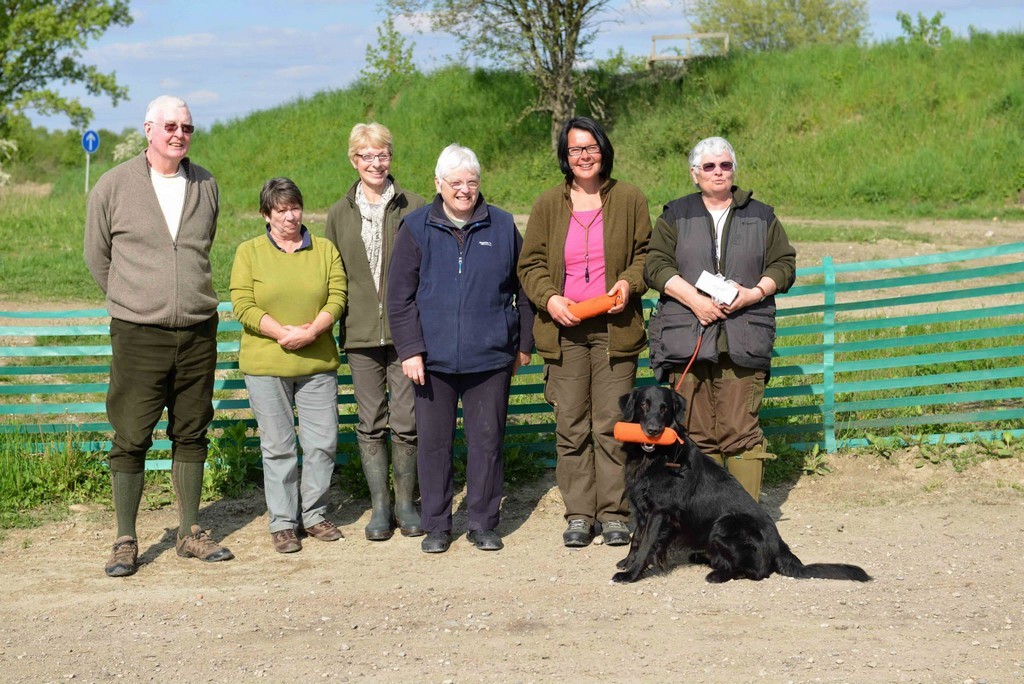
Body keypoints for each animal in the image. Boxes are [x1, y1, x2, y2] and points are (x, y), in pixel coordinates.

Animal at [610, 387, 868, 585]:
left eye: (664, 408)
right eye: (644, 405)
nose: (653, 430)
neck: (655, 457)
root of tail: (780, 547)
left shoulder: (659, 512)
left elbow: (646, 544)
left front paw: (631, 574)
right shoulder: (642, 508)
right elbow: (636, 539)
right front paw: (628, 562)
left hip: (725, 524)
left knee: (757, 572)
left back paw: (718, 574)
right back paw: (703, 556)